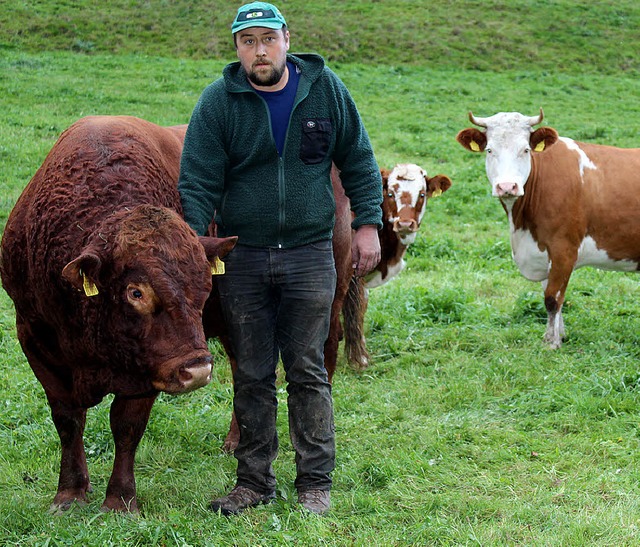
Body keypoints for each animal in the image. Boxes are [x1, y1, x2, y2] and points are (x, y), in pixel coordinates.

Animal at [0, 116, 235, 512]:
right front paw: (70, 492)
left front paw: (121, 499)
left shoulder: (149, 368)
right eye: (136, 292)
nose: (196, 370)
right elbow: (68, 420)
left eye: (204, 285)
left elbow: (126, 425)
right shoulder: (33, 338)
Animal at [456, 109, 640, 348]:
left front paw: (552, 343)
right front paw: (555, 336)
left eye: (525, 149)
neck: (522, 228)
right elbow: (552, 295)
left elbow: (553, 298)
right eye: (490, 150)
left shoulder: (564, 249)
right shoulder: (543, 253)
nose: (507, 187)